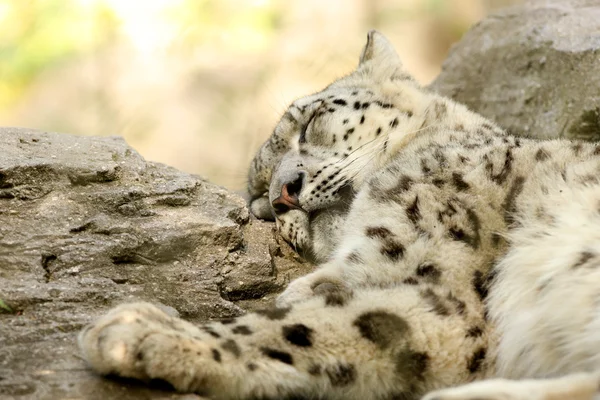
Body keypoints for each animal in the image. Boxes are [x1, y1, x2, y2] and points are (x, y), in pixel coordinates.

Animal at [77, 32, 600, 400]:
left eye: (310, 121)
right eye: (258, 202)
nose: (283, 196)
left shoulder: (441, 295)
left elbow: (299, 327)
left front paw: (140, 330)